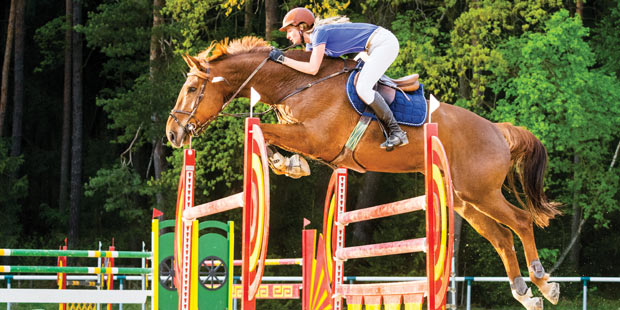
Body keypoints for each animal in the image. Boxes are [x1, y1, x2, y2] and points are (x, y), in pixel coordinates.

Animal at [165, 37, 560, 310]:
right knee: (501, 237)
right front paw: (288, 164)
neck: (297, 83)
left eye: (191, 88)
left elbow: (261, 128)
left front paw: (285, 162)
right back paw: (526, 293)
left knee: (521, 222)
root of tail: (498, 130)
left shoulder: (313, 137)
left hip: (482, 192)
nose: (173, 134)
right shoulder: (310, 140)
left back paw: (543, 280)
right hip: (465, 199)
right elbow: (270, 134)